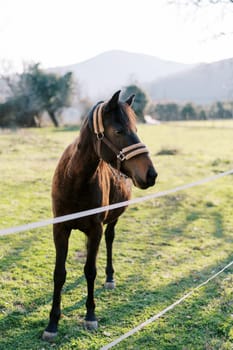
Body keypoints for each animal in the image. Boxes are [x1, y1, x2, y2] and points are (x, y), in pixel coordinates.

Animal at [42, 90, 157, 342]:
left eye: (136, 128)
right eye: (119, 131)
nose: (151, 174)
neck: (75, 180)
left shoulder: (95, 230)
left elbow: (90, 271)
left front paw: (90, 315)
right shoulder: (60, 230)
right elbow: (59, 273)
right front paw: (52, 323)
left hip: (111, 220)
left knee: (110, 240)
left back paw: (110, 278)